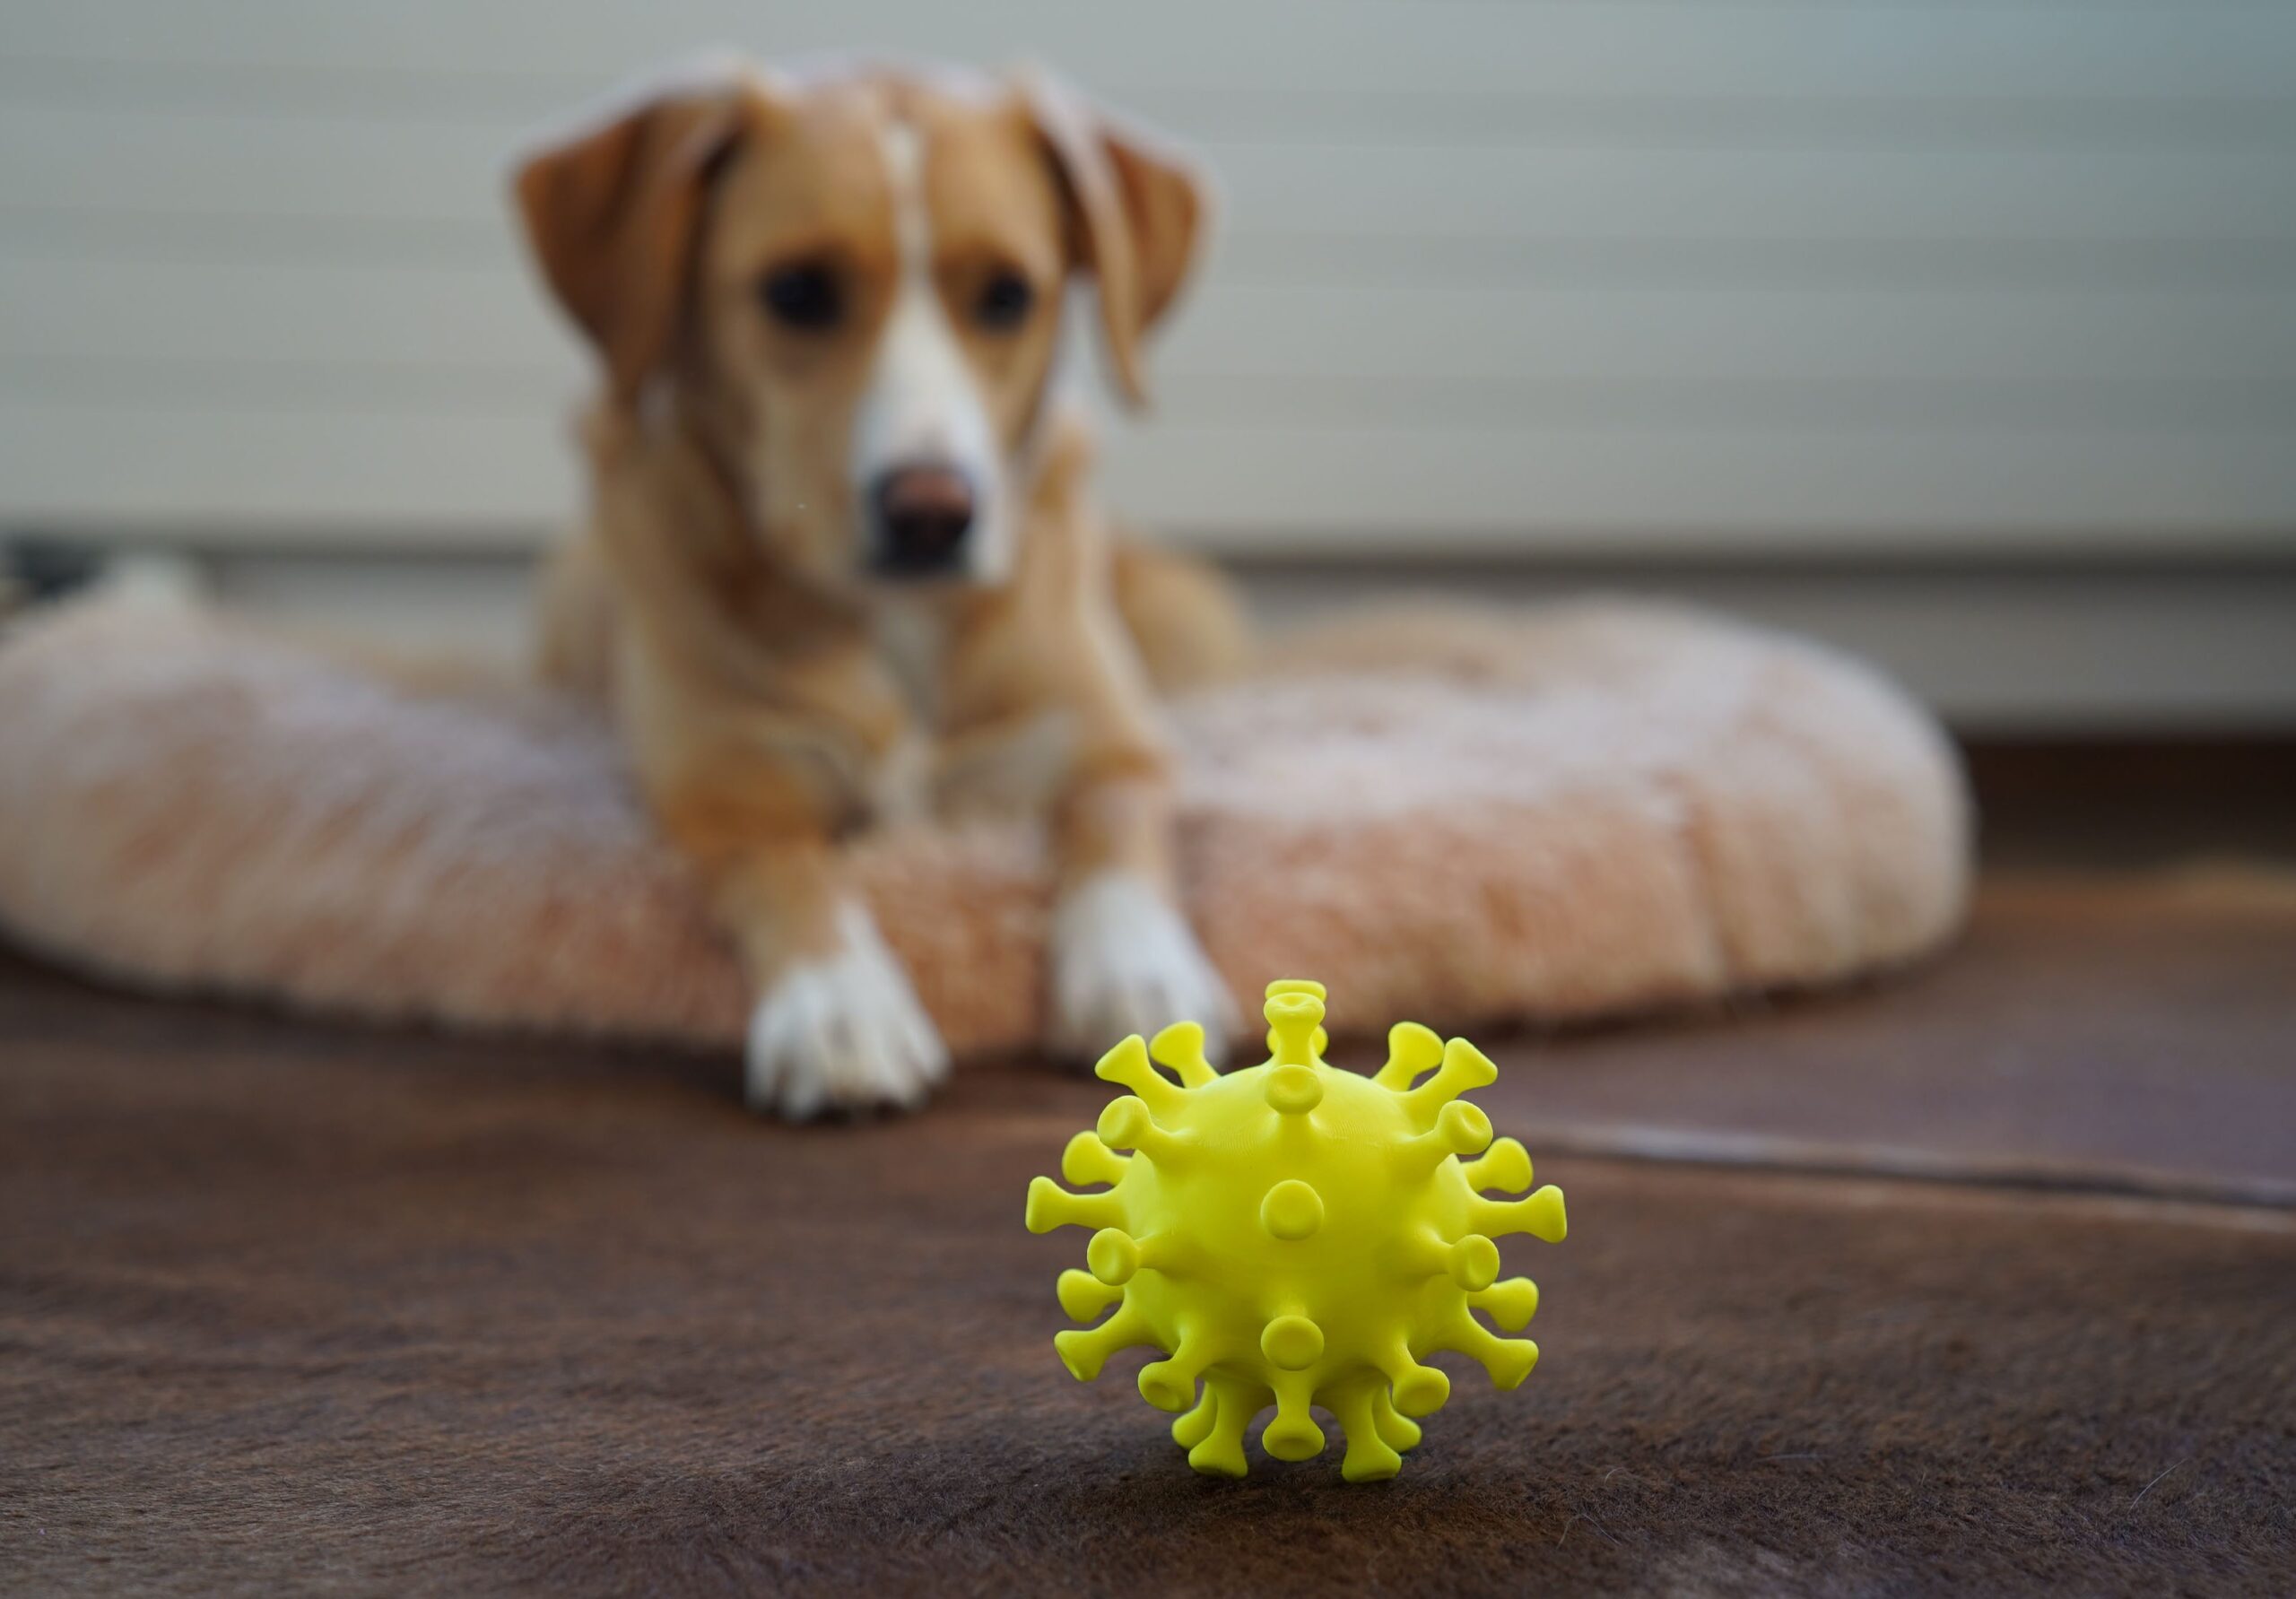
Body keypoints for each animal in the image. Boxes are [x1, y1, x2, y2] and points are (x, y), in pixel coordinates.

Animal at [511, 59, 1248, 1111]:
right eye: (796, 290)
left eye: (1007, 295)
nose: (934, 512)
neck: (898, 622)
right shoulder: (726, 791)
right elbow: (794, 876)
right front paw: (838, 1005)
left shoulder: (1115, 744)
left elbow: (1114, 834)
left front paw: (1140, 973)